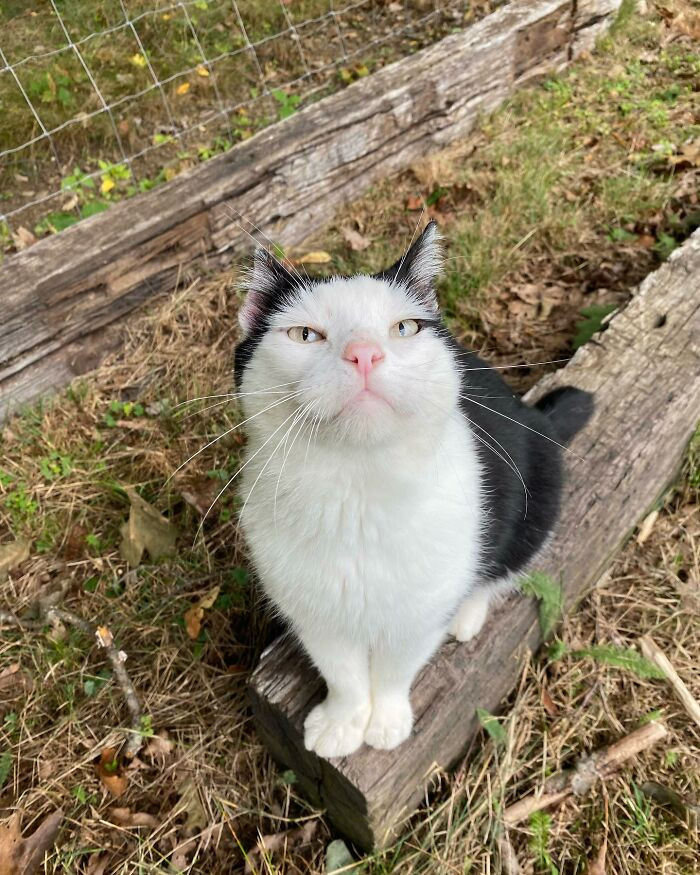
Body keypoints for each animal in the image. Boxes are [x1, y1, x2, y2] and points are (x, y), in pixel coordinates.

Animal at [234, 224, 592, 760]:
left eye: (404, 328)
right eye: (305, 334)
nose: (364, 353)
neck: (358, 493)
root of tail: (536, 418)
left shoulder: (421, 614)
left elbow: (395, 668)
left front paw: (385, 720)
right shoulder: (311, 612)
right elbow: (341, 670)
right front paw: (343, 722)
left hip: (538, 496)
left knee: (500, 567)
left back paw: (469, 610)